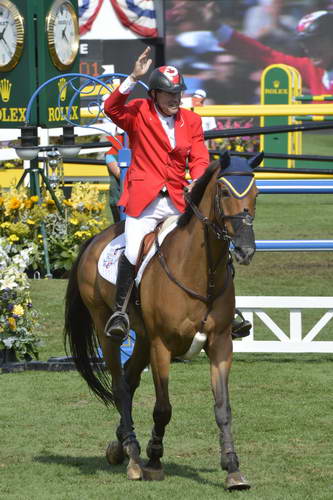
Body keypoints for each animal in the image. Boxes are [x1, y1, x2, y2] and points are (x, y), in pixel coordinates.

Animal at [64, 151, 262, 488]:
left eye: (256, 194)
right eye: (224, 193)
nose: (245, 250)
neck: (200, 271)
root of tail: (95, 239)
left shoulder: (221, 343)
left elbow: (223, 408)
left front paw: (233, 469)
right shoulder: (162, 346)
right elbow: (163, 408)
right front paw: (155, 459)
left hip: (142, 338)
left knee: (129, 380)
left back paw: (120, 443)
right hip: (109, 330)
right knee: (119, 384)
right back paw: (132, 456)